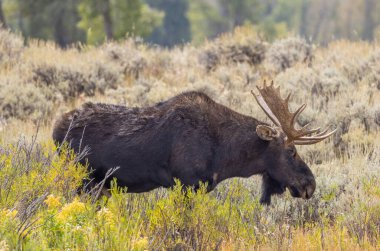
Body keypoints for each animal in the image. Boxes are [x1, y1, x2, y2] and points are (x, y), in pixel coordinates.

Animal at [52, 81, 336, 205]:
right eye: (291, 150)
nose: (310, 184)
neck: (225, 157)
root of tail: (54, 130)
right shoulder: (187, 183)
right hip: (82, 178)